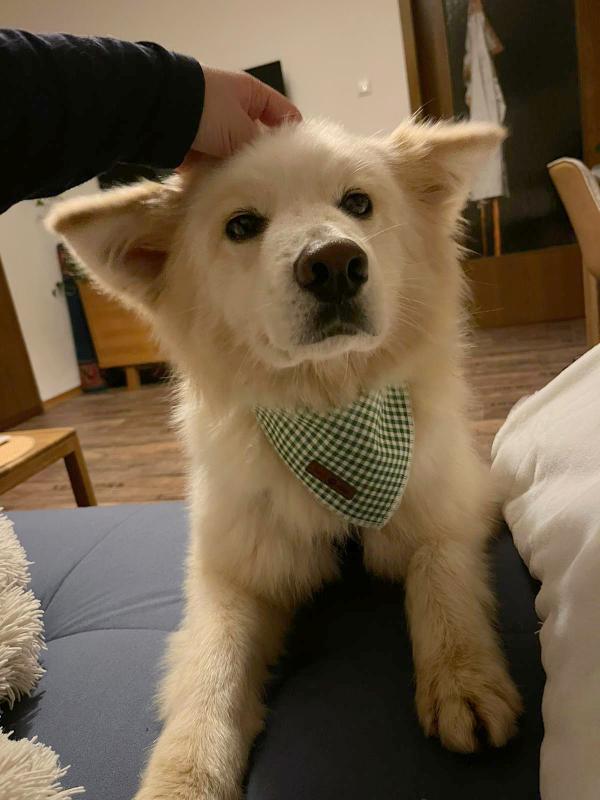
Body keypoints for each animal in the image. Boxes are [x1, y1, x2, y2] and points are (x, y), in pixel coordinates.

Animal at [48, 118, 522, 800]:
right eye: (242, 226)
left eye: (358, 203)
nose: (335, 264)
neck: (328, 410)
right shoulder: (231, 571)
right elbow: (211, 666)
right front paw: (184, 774)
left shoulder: (451, 508)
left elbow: (442, 583)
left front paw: (464, 681)